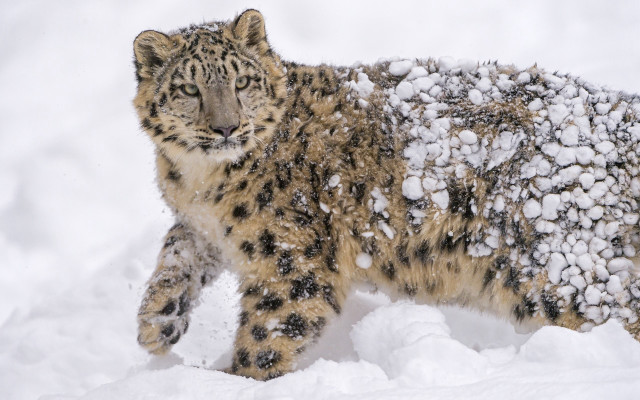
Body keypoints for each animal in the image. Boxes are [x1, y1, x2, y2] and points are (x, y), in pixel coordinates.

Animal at [133, 9, 640, 380]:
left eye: (242, 81)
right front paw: (157, 324)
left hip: (567, 269)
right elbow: (177, 254)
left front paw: (232, 380)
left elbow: (267, 333)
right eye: (188, 87)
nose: (226, 127)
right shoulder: (205, 226)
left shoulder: (289, 259)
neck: (201, 182)